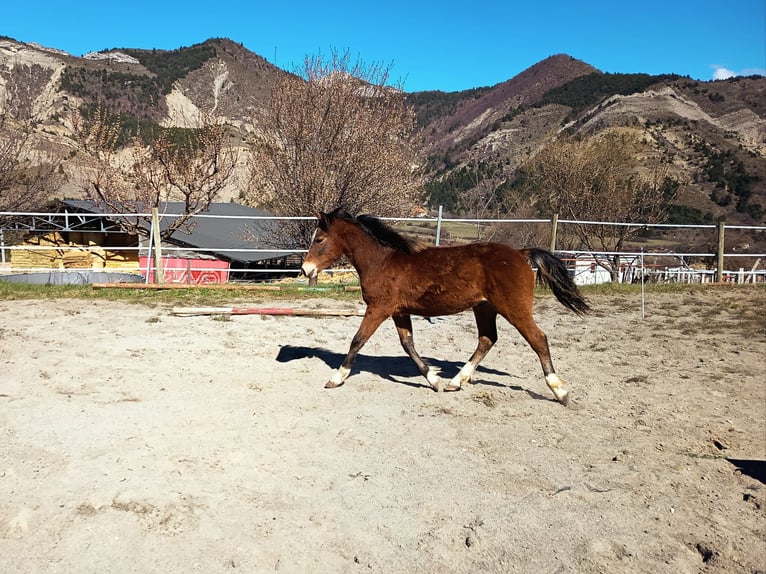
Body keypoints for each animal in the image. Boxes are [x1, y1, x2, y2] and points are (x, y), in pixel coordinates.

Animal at [300, 209, 589, 405]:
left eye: (319, 239)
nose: (305, 269)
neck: (382, 262)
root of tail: (521, 253)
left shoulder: (379, 309)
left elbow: (357, 340)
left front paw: (336, 378)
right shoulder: (399, 311)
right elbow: (408, 344)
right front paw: (435, 380)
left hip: (514, 308)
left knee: (538, 339)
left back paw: (560, 391)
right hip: (484, 308)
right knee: (487, 339)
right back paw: (455, 382)